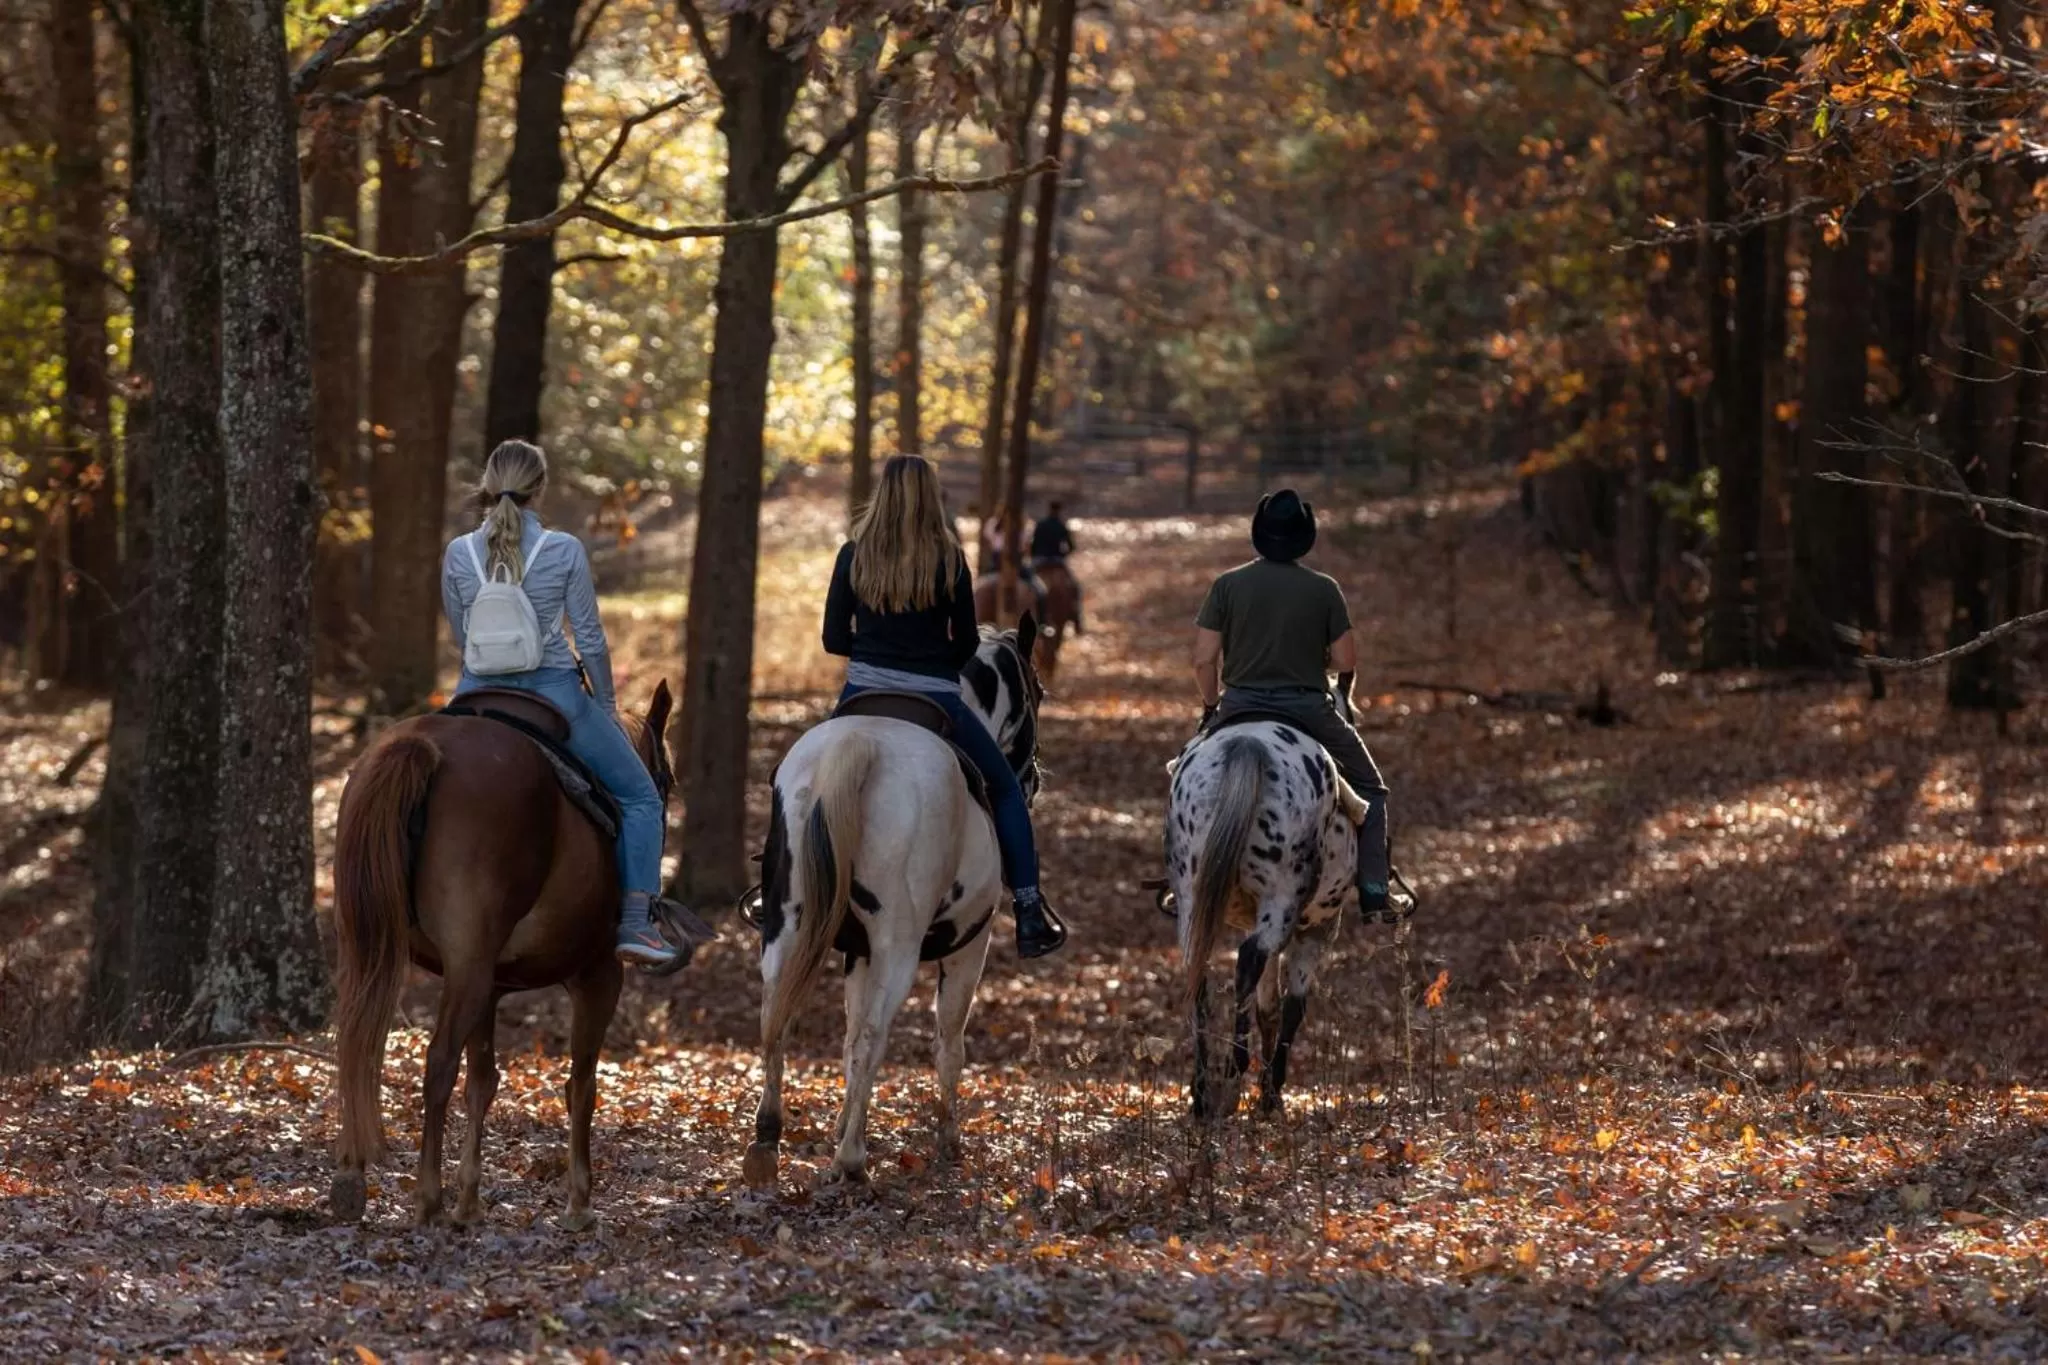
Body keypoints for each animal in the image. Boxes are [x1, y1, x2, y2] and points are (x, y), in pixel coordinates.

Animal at [329, 681, 693, 1229]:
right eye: (665, 779)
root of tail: (424, 747)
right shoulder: (597, 976)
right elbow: (580, 1085)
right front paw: (579, 1202)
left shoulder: (493, 988)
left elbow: (483, 1081)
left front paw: (470, 1201)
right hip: (468, 969)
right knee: (437, 1062)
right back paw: (426, 1198)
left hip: (377, 950)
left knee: (358, 1044)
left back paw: (354, 1180)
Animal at [741, 617, 1044, 1189]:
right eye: (1037, 689)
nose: (1033, 778)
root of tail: (860, 745)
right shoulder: (969, 948)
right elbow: (948, 1042)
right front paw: (949, 1141)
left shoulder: (855, 952)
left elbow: (846, 1040)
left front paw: (841, 1124)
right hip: (899, 947)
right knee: (875, 1034)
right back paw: (852, 1160)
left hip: (787, 927)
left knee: (777, 1015)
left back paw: (768, 1141)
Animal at [1163, 684, 1368, 1119]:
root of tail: (1248, 744)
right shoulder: (1318, 929)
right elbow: (1292, 1007)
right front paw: (1271, 1093)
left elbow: (1268, 1006)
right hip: (1283, 901)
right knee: (1247, 962)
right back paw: (1233, 1069)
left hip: (1194, 900)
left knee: (1199, 975)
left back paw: (1203, 1091)